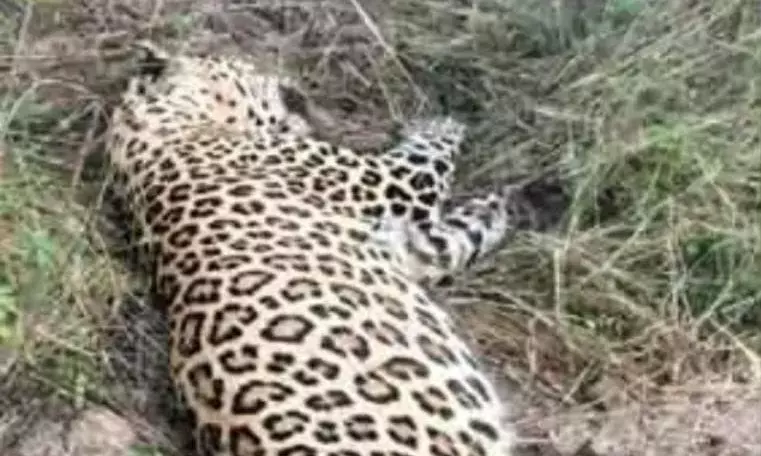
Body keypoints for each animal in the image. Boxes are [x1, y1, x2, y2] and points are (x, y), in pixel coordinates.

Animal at [105, 40, 518, 456]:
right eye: (245, 68)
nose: (291, 81)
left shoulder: (408, 247)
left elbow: (454, 241)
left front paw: (491, 208)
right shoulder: (384, 183)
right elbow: (427, 155)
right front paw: (443, 123)